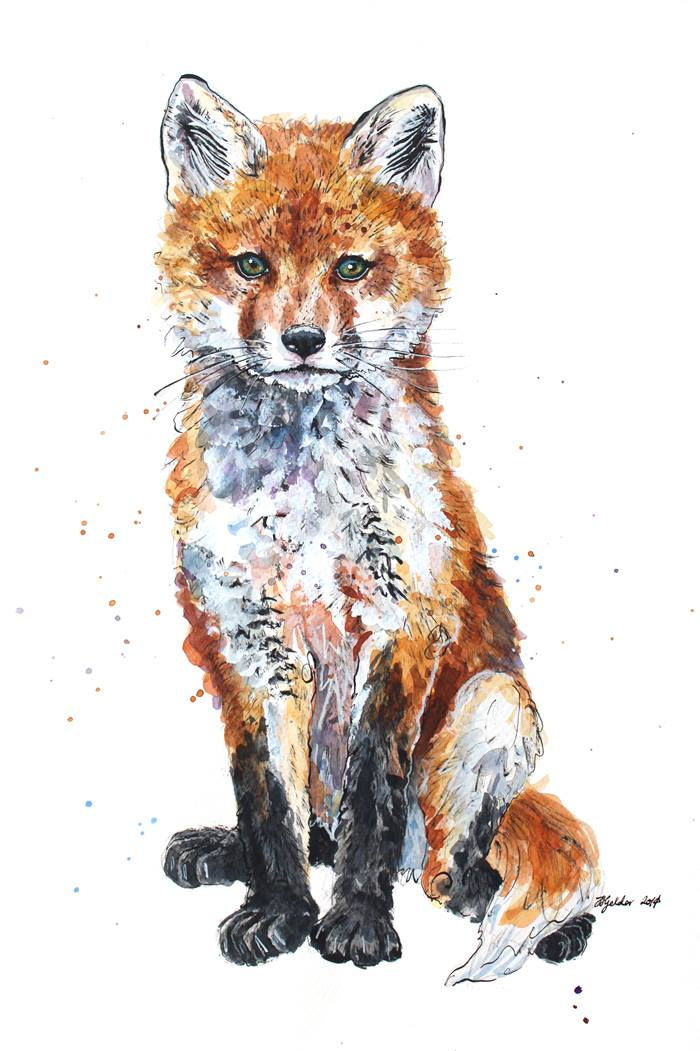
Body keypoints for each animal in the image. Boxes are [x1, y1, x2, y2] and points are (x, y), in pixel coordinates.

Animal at [157, 75, 601, 983]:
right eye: (252, 265)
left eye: (351, 267)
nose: (302, 340)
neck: (302, 507)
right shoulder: (245, 638)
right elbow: (268, 805)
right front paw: (280, 912)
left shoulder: (402, 624)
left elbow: (374, 797)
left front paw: (356, 923)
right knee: (314, 829)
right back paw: (228, 852)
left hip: (495, 705)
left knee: (454, 865)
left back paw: (530, 917)